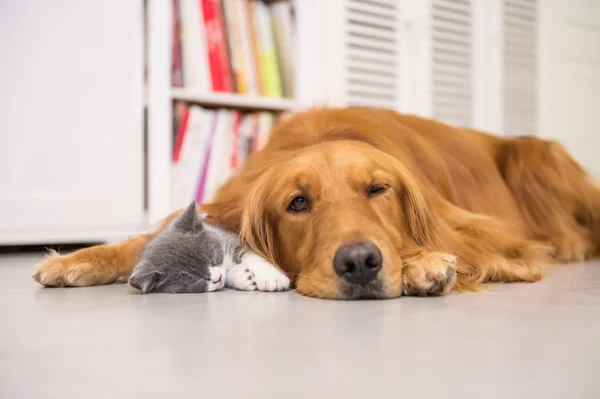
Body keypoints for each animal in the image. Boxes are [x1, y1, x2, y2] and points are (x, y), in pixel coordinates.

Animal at [127, 203, 290, 294]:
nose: (217, 278)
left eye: (213, 258)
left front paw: (272, 279)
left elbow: (251, 255)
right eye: (195, 279)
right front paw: (243, 277)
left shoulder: (230, 239)